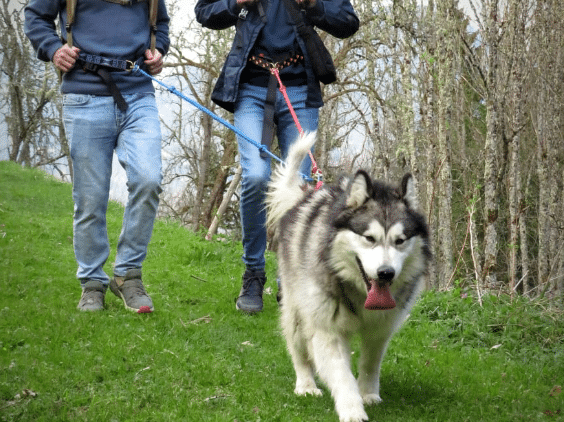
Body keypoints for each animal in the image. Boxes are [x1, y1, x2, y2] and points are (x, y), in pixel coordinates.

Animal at [266, 133, 430, 422]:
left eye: (400, 241)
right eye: (369, 238)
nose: (386, 273)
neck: (359, 293)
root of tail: (304, 197)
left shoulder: (380, 329)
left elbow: (369, 364)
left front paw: (368, 394)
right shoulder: (326, 329)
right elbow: (342, 375)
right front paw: (353, 409)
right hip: (296, 310)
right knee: (299, 350)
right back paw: (306, 384)